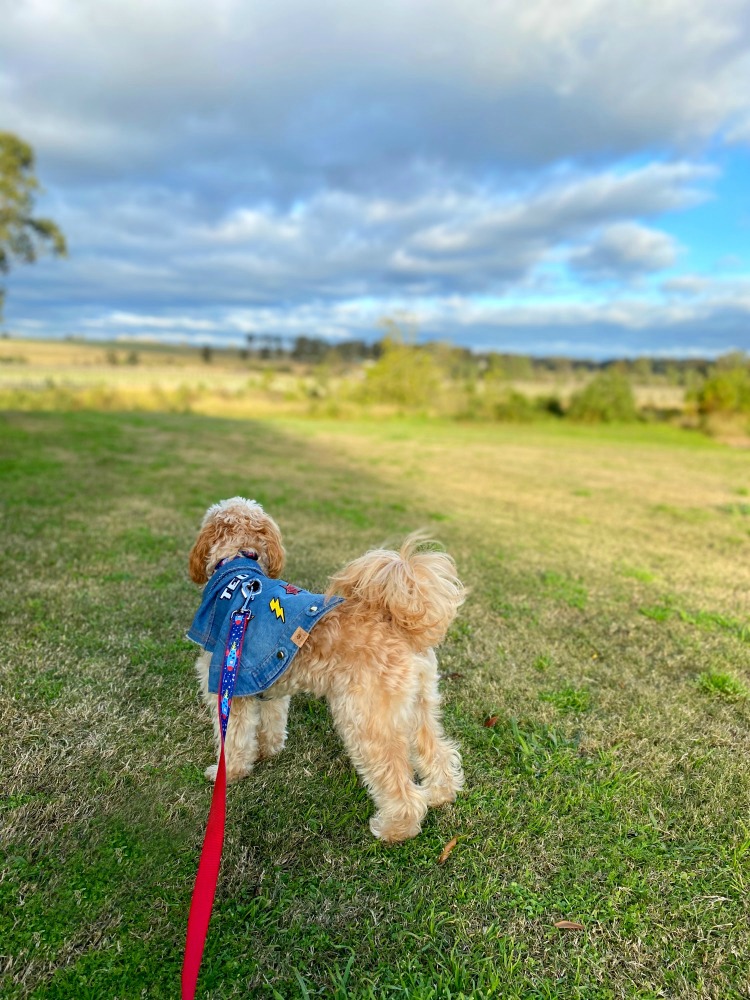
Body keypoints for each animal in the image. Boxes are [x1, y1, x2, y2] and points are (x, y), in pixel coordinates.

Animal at [189, 496, 464, 840]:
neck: (240, 567)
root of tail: (397, 622)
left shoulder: (228, 685)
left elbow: (234, 740)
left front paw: (228, 773)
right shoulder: (270, 687)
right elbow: (271, 724)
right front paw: (266, 752)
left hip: (367, 718)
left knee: (401, 785)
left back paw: (394, 830)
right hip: (417, 707)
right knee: (437, 752)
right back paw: (442, 794)